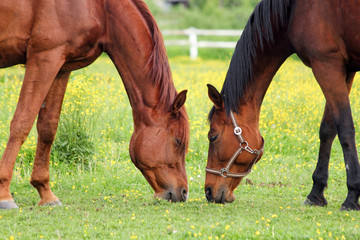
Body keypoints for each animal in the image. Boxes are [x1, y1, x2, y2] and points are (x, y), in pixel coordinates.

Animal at [0, 0, 190, 210]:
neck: (101, 9)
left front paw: (46, 193)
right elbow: (22, 123)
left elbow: (48, 127)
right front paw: (4, 195)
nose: (183, 192)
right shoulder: (44, 58)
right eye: (178, 141)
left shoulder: (61, 67)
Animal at [205, 0, 360, 210]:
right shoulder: (345, 70)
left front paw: (352, 196)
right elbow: (327, 131)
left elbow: (345, 129)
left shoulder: (327, 65)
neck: (293, 11)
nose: (208, 191)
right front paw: (316, 193)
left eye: (212, 137)